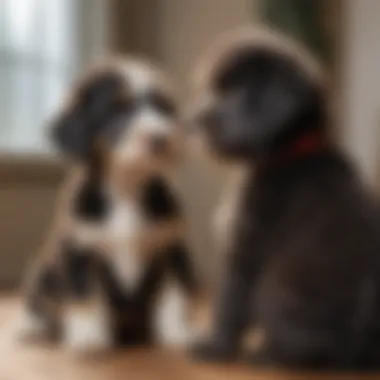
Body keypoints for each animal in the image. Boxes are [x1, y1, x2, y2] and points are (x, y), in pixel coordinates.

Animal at [21, 57, 200, 354]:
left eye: (163, 108)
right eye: (117, 109)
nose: (161, 138)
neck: (126, 187)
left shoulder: (172, 247)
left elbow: (173, 297)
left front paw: (178, 332)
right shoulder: (80, 249)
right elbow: (85, 295)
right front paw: (88, 336)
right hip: (45, 270)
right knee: (39, 301)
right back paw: (32, 326)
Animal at [190, 25, 380, 370]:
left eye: (237, 90)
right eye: (214, 88)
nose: (196, 120)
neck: (287, 152)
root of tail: (362, 352)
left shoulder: (247, 245)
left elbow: (230, 303)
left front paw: (215, 348)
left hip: (277, 286)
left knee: (309, 351)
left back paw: (265, 355)